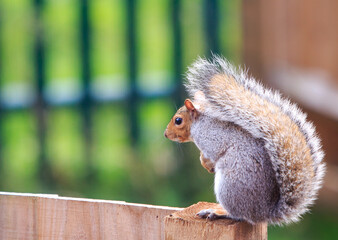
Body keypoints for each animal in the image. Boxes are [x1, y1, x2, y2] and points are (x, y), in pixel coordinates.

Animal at [164, 56, 324, 225]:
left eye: (178, 120)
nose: (165, 134)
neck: (199, 121)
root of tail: (263, 213)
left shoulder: (211, 138)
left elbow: (212, 154)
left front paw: (206, 163)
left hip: (228, 188)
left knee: (238, 215)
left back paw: (218, 211)